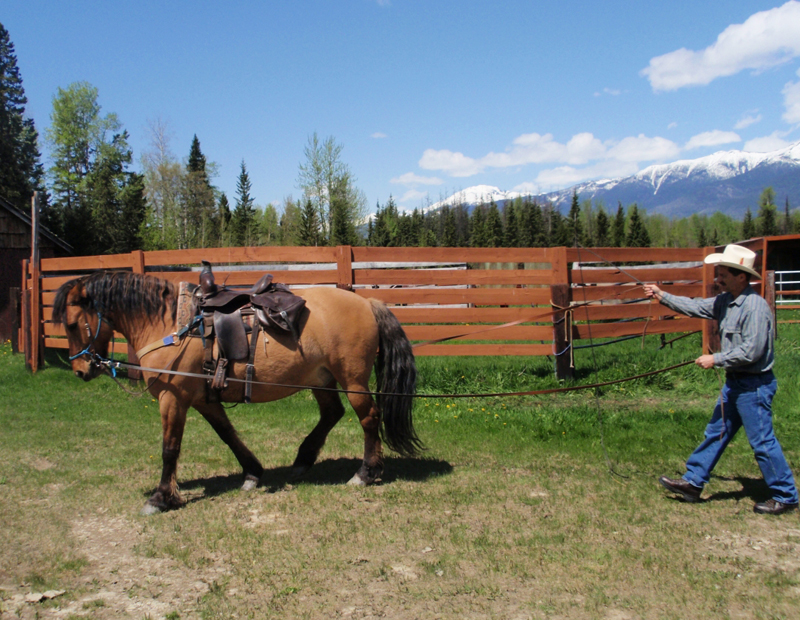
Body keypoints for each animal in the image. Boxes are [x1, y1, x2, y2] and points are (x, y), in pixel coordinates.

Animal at [53, 271, 421, 514]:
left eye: (71, 324)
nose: (81, 369)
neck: (172, 326)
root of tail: (367, 301)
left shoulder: (174, 400)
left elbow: (170, 448)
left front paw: (160, 498)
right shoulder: (204, 400)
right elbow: (228, 435)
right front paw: (252, 473)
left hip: (353, 379)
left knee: (368, 418)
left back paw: (366, 473)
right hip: (321, 378)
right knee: (332, 413)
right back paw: (303, 460)